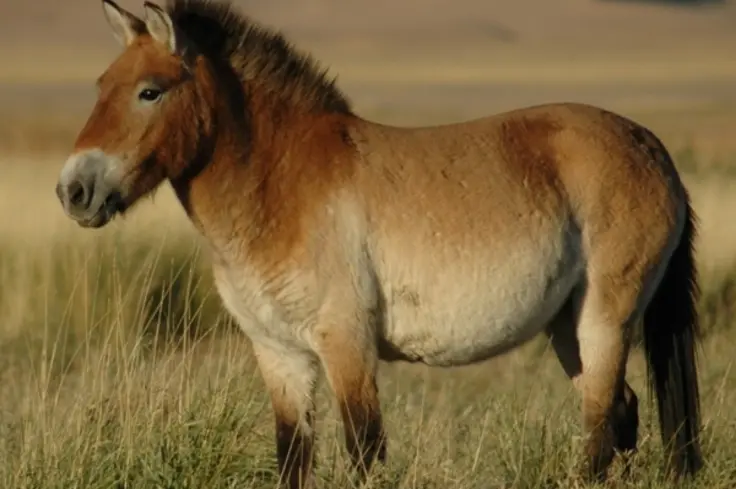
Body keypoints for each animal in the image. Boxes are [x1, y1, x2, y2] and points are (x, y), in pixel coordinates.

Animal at [55, 0, 704, 487]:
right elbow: (292, 458)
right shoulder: (279, 354)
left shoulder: (346, 344)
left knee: (602, 429)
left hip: (604, 321)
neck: (282, 186)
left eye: (150, 91)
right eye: (100, 85)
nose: (74, 190)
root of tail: (651, 146)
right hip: (567, 327)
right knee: (620, 415)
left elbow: (364, 453)